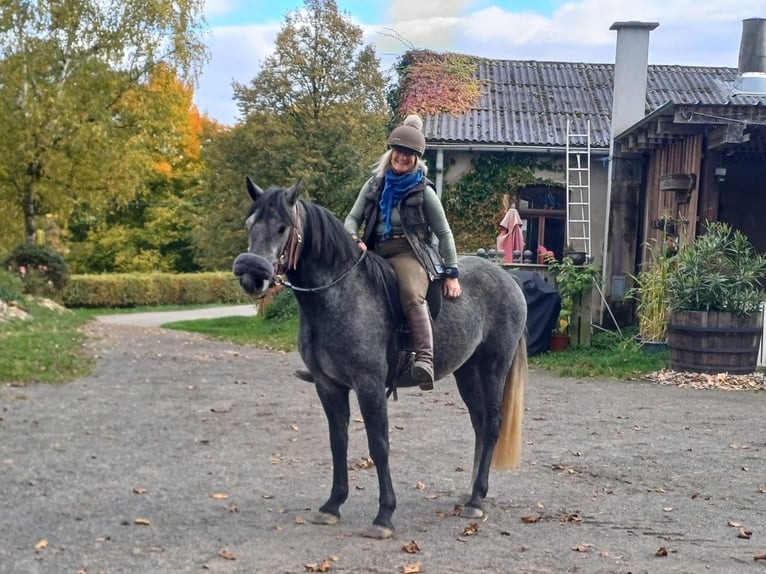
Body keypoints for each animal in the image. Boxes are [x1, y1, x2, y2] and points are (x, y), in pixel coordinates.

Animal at [232, 177, 528, 539]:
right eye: (249, 224)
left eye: (281, 227)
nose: (251, 276)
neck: (339, 294)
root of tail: (509, 279)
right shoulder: (328, 386)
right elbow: (338, 442)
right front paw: (332, 505)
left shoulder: (369, 386)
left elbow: (379, 445)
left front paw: (384, 515)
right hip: (466, 372)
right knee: (480, 424)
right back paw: (473, 492)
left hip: (493, 368)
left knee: (492, 423)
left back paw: (477, 499)